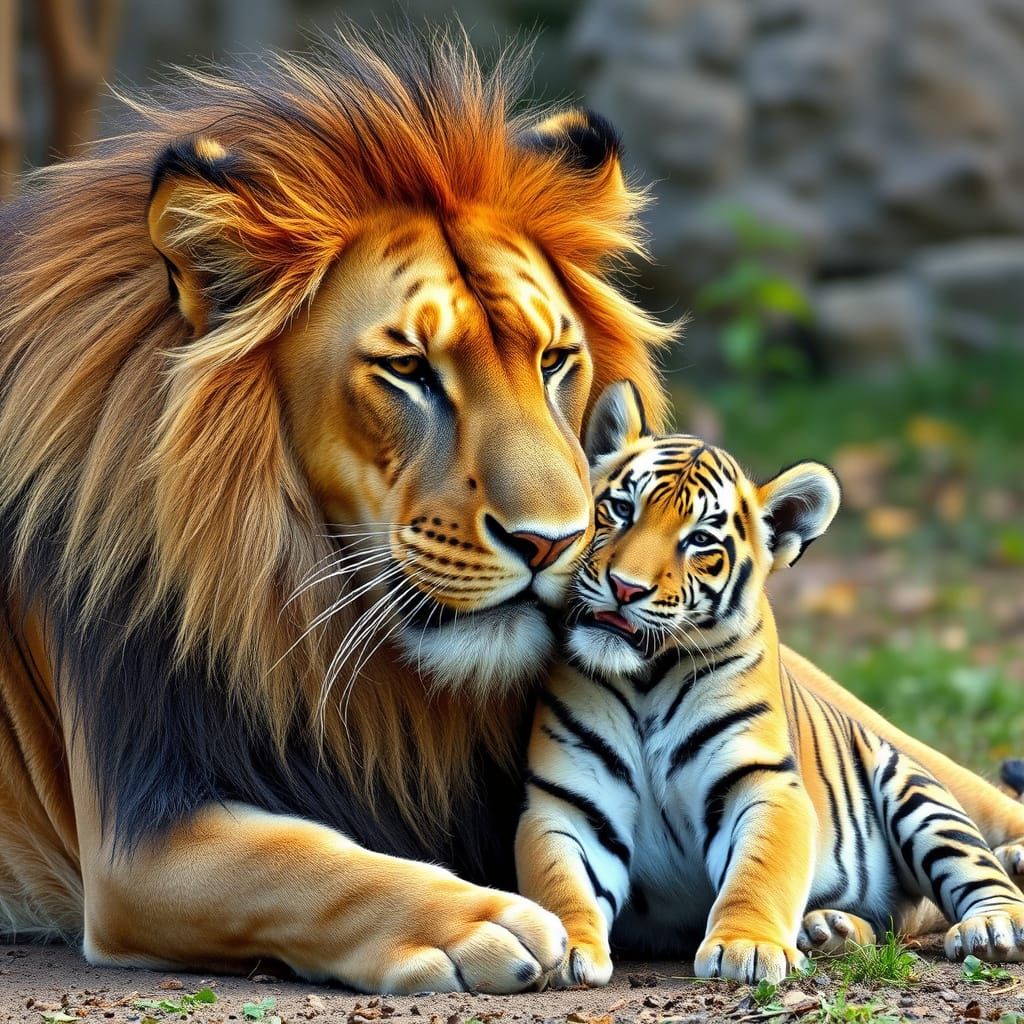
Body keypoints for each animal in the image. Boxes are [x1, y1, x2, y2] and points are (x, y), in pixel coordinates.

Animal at [516, 380, 1024, 986]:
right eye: (620, 509)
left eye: (699, 541)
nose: (624, 587)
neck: (647, 680)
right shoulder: (568, 803)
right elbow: (561, 882)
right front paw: (565, 945)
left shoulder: (761, 782)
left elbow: (758, 873)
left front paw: (749, 946)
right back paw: (829, 928)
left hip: (916, 792)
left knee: (982, 870)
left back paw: (992, 927)